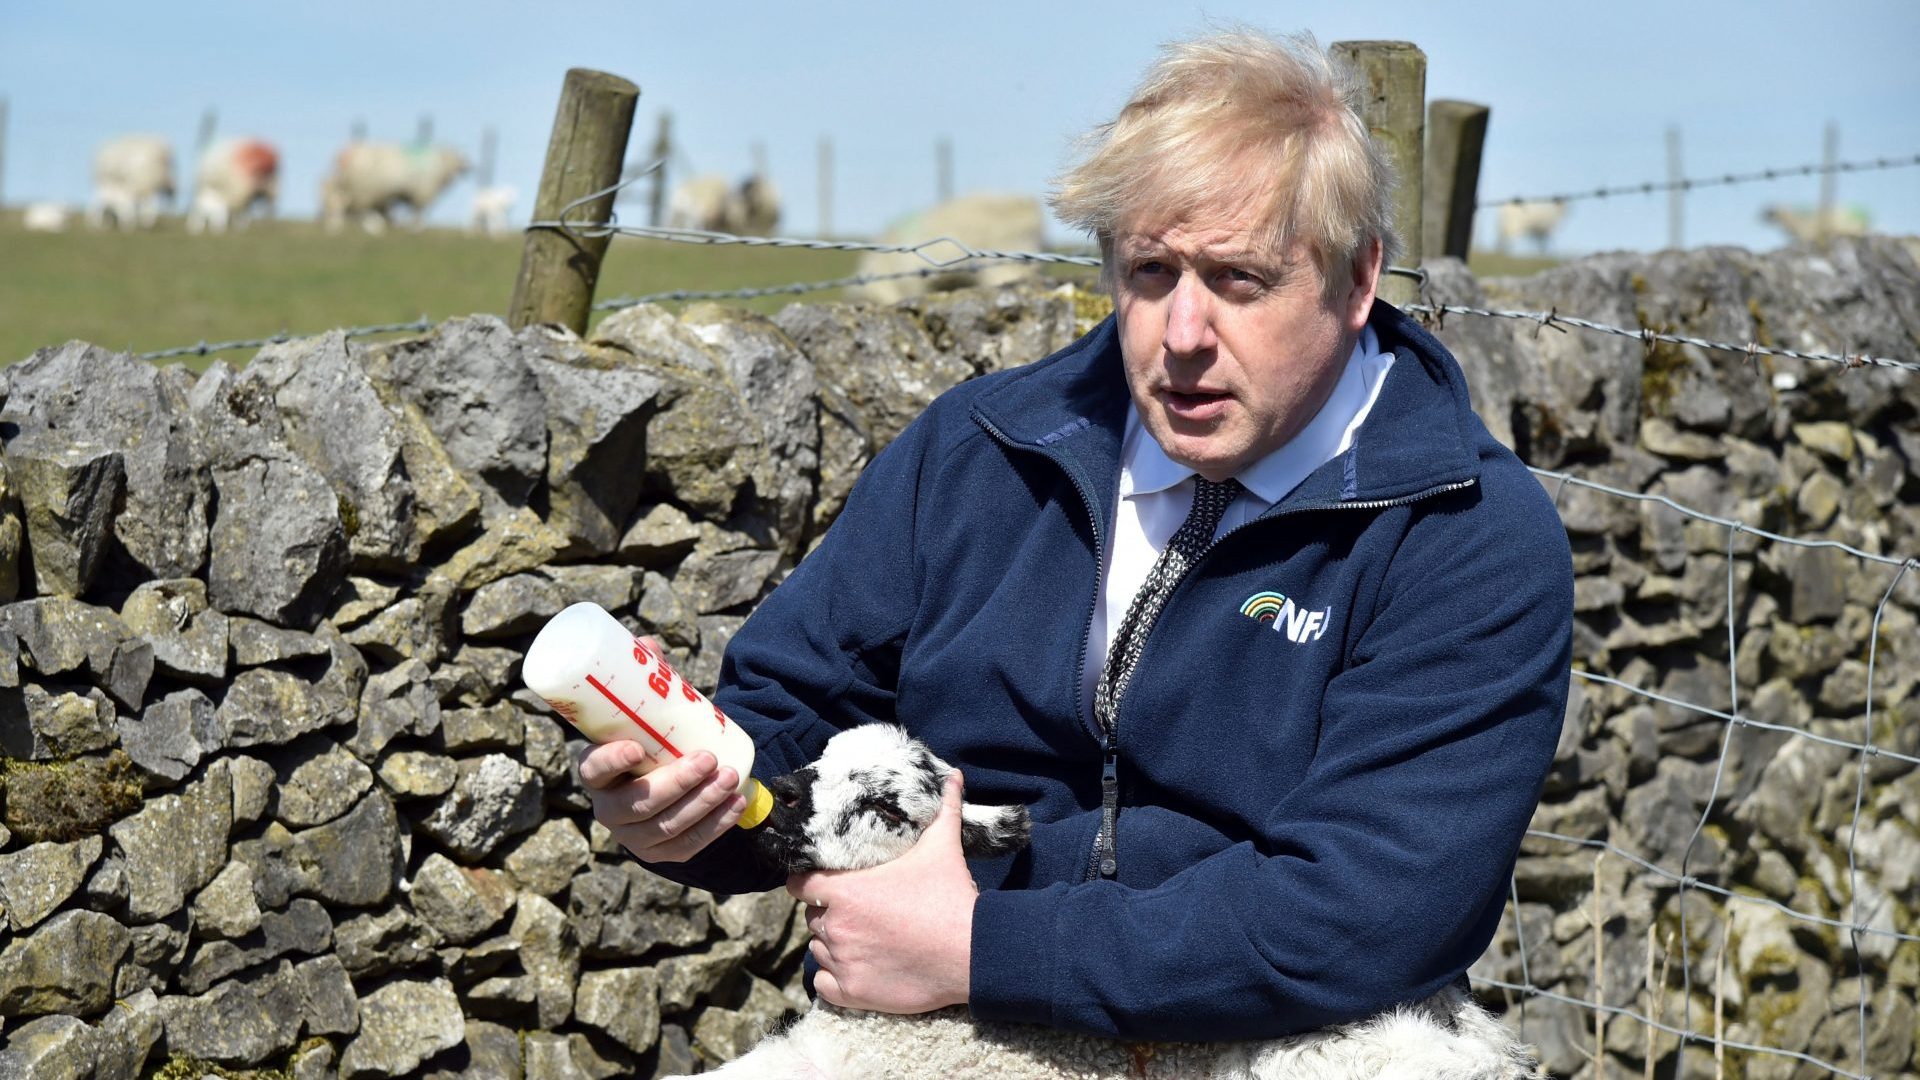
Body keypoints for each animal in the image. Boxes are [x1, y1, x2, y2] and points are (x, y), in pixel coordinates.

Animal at [318, 139, 472, 232]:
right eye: (459, 158)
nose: (469, 167)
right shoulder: (422, 192)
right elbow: (418, 212)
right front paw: (416, 227)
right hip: (364, 190)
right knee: (356, 207)